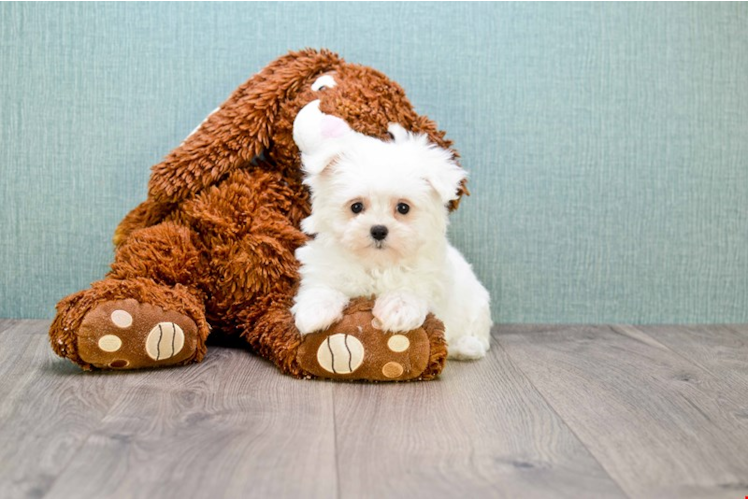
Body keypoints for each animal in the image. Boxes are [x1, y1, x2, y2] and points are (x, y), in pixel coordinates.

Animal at [290, 101, 490, 360]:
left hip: (477, 306)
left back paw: (465, 346)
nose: (378, 230)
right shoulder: (326, 265)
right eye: (356, 206)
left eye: (403, 208)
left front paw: (398, 309)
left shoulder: (430, 277)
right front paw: (315, 311)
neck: (378, 263)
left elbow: (410, 287)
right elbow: (322, 286)